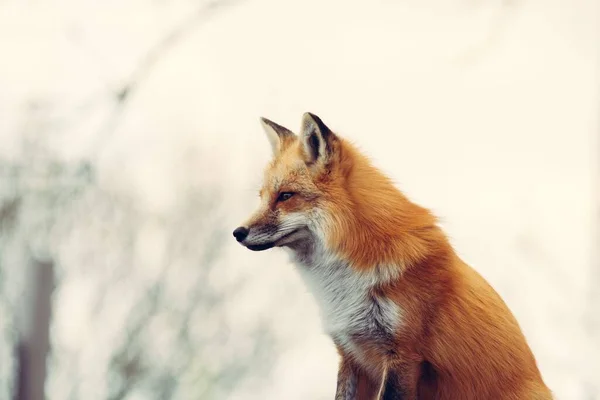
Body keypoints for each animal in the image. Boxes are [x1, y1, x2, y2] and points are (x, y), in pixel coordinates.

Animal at [232, 113, 552, 400]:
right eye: (262, 197)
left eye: (286, 196)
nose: (238, 232)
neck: (342, 284)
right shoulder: (350, 353)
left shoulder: (404, 354)